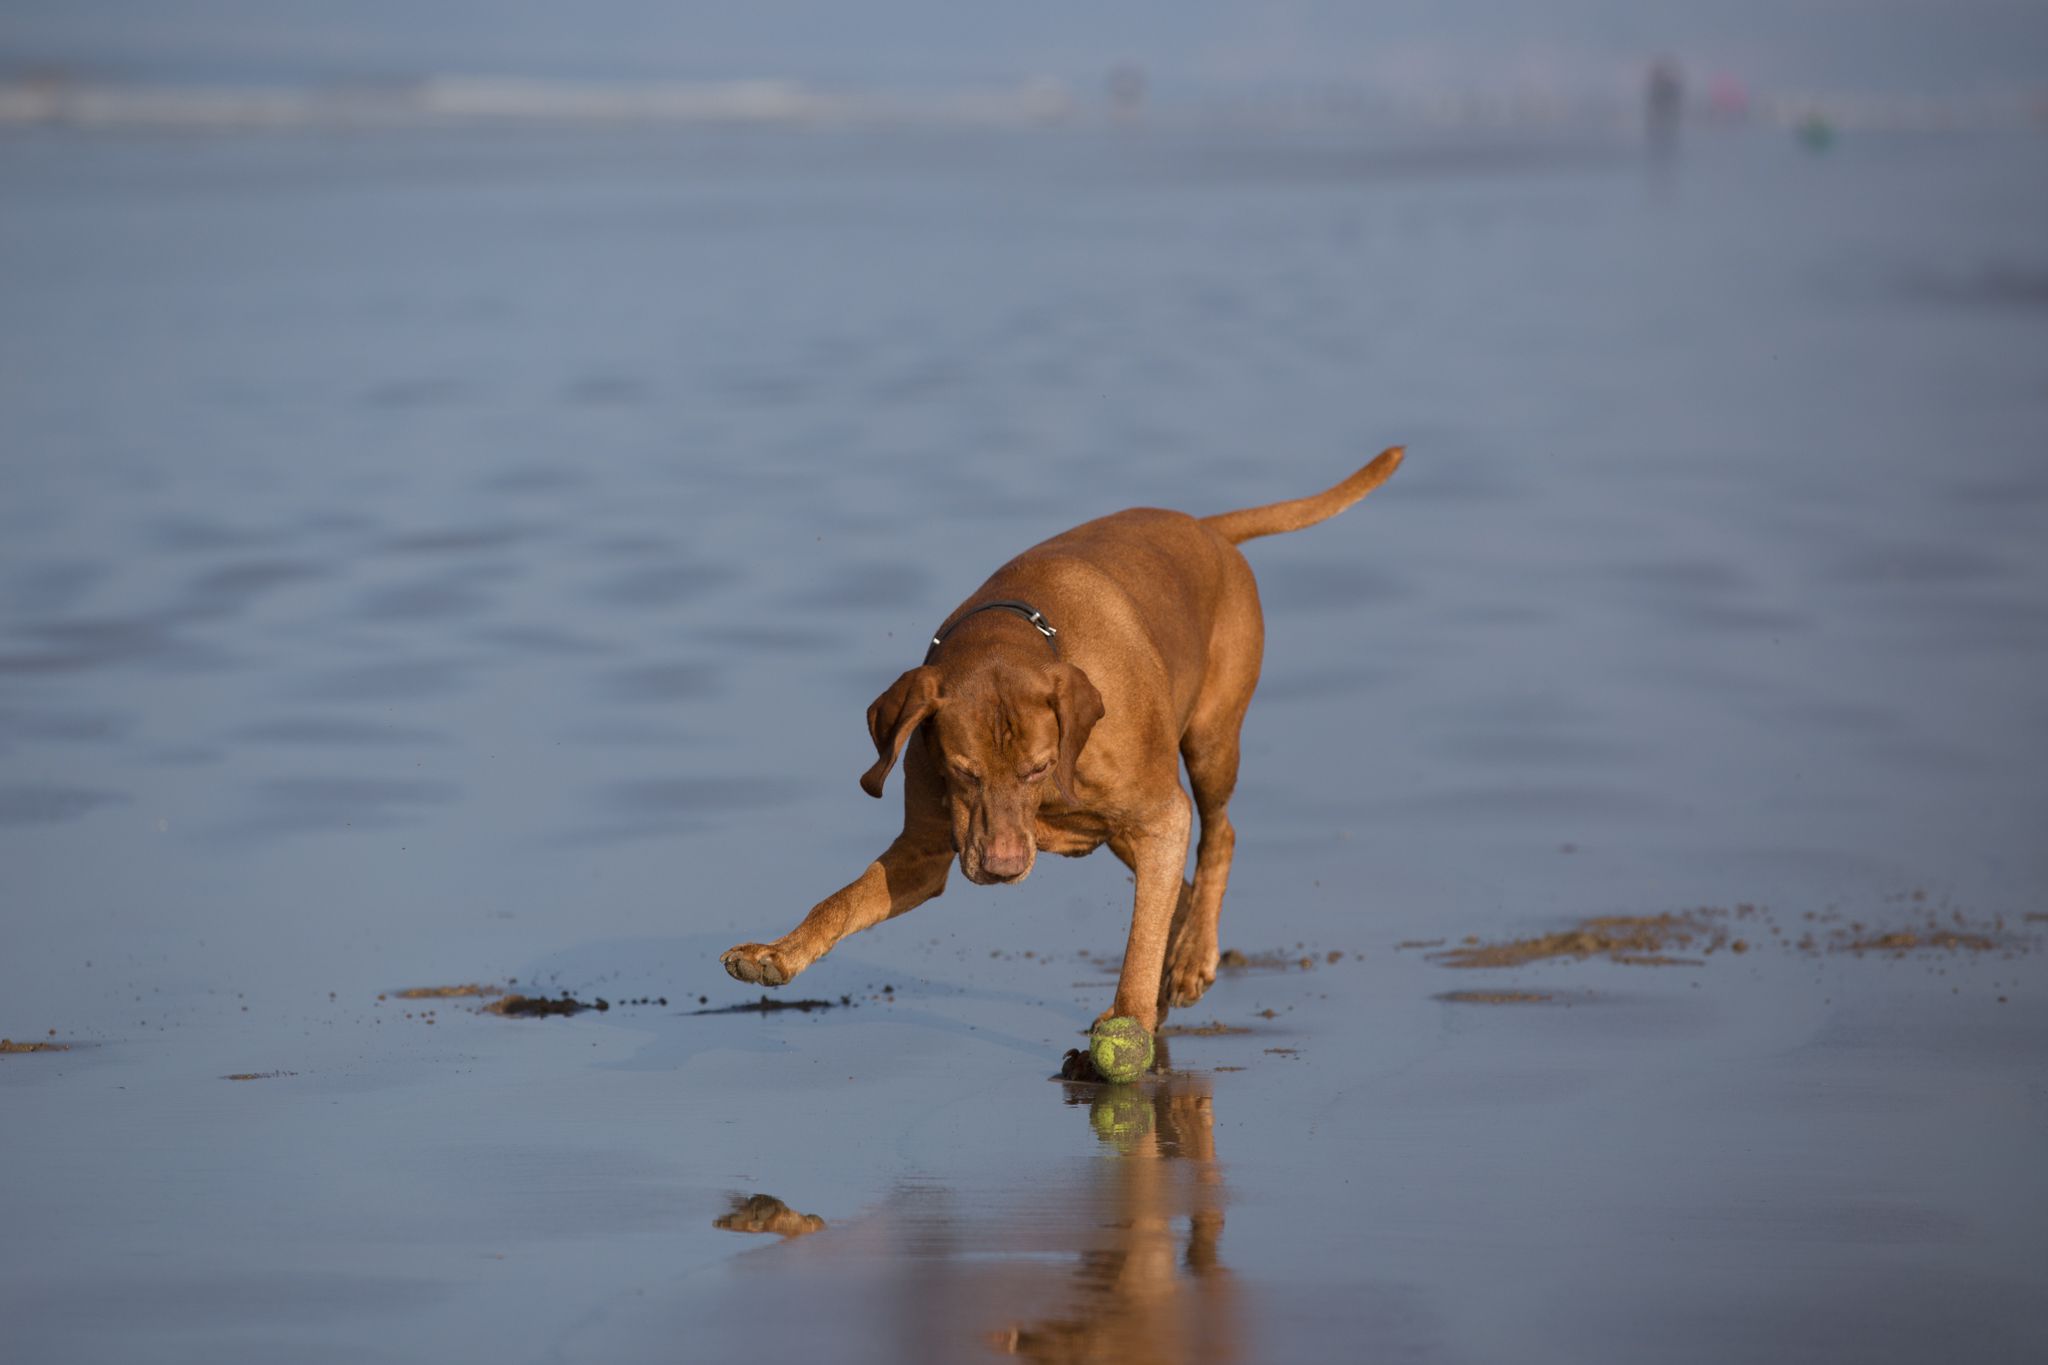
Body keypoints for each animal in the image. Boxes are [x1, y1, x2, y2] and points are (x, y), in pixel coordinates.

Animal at [724, 450, 1409, 1035]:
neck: (1020, 632)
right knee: (1180, 890)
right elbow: (840, 901)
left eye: (1038, 768)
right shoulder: (923, 851)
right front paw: (778, 953)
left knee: (1220, 837)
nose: (1001, 868)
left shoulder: (1161, 814)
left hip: (1211, 743)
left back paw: (1192, 959)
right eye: (961, 770)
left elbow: (1140, 937)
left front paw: (1129, 1017)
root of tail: (1207, 528)